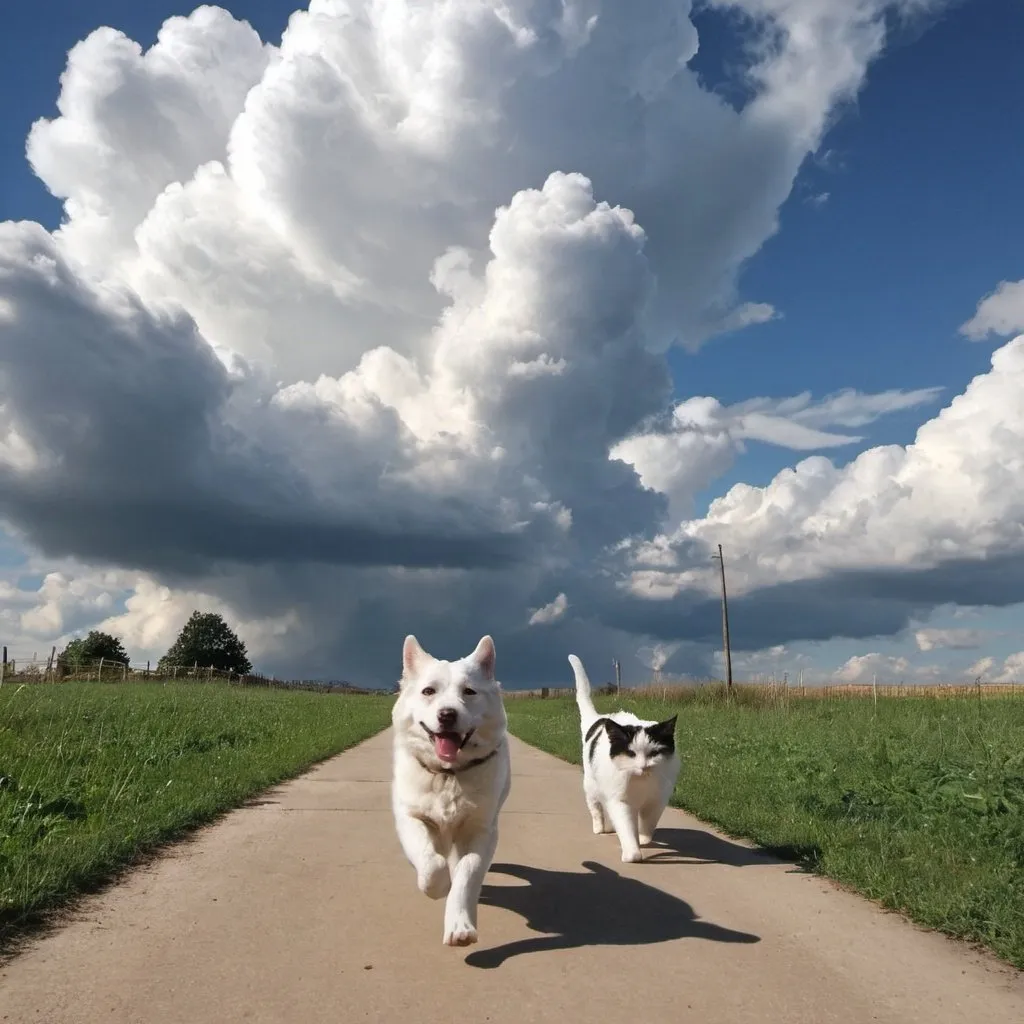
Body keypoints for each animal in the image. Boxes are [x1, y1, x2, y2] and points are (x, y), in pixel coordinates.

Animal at [389, 634, 509, 946]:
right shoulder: (413, 818)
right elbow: (431, 862)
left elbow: (467, 873)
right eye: (428, 691)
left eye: (469, 691)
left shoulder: (481, 830)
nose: (447, 715)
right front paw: (437, 885)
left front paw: (460, 924)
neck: (448, 774)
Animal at [569, 651, 679, 860]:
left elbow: (648, 824)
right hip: (591, 785)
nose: (643, 767)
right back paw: (599, 827)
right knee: (595, 807)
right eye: (631, 753)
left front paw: (643, 839)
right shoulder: (621, 802)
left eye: (654, 753)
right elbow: (626, 828)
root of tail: (599, 718)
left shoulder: (657, 800)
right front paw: (632, 853)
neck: (641, 783)